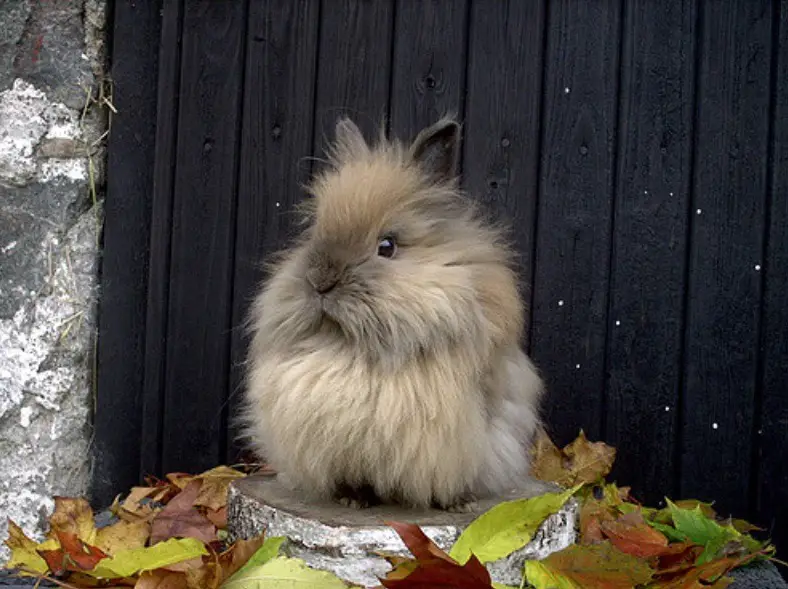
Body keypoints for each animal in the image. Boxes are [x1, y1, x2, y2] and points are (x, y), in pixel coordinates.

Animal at [243, 116, 544, 510]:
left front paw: (453, 502)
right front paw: (354, 498)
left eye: (387, 246)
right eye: (315, 234)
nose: (320, 281)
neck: (352, 347)